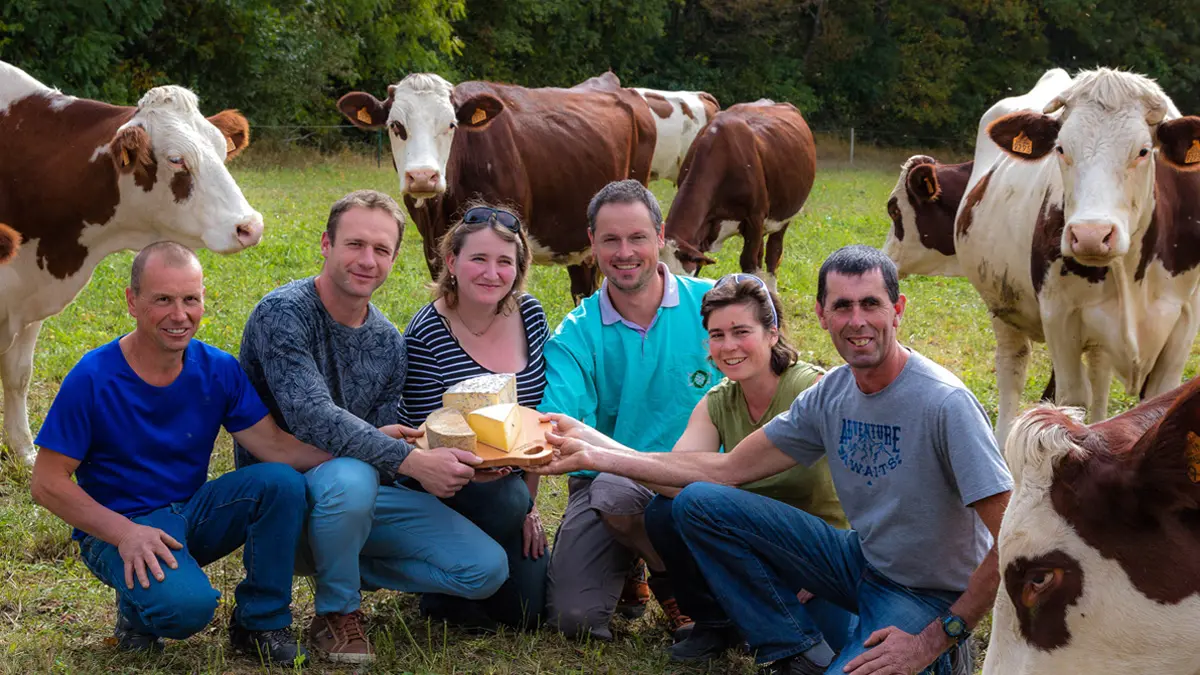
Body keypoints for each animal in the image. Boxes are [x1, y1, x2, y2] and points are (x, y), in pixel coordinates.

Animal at [0, 60, 262, 458]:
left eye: (220, 149)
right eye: (176, 159)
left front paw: (24, 451)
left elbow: (18, 374)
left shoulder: (31, 300)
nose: (250, 225)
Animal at [955, 69, 1200, 446]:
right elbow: (1071, 401)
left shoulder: (1185, 319)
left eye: (1143, 151)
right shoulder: (1059, 315)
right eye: (1061, 149)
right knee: (1013, 367)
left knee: (1099, 377)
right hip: (1002, 306)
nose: (1090, 235)